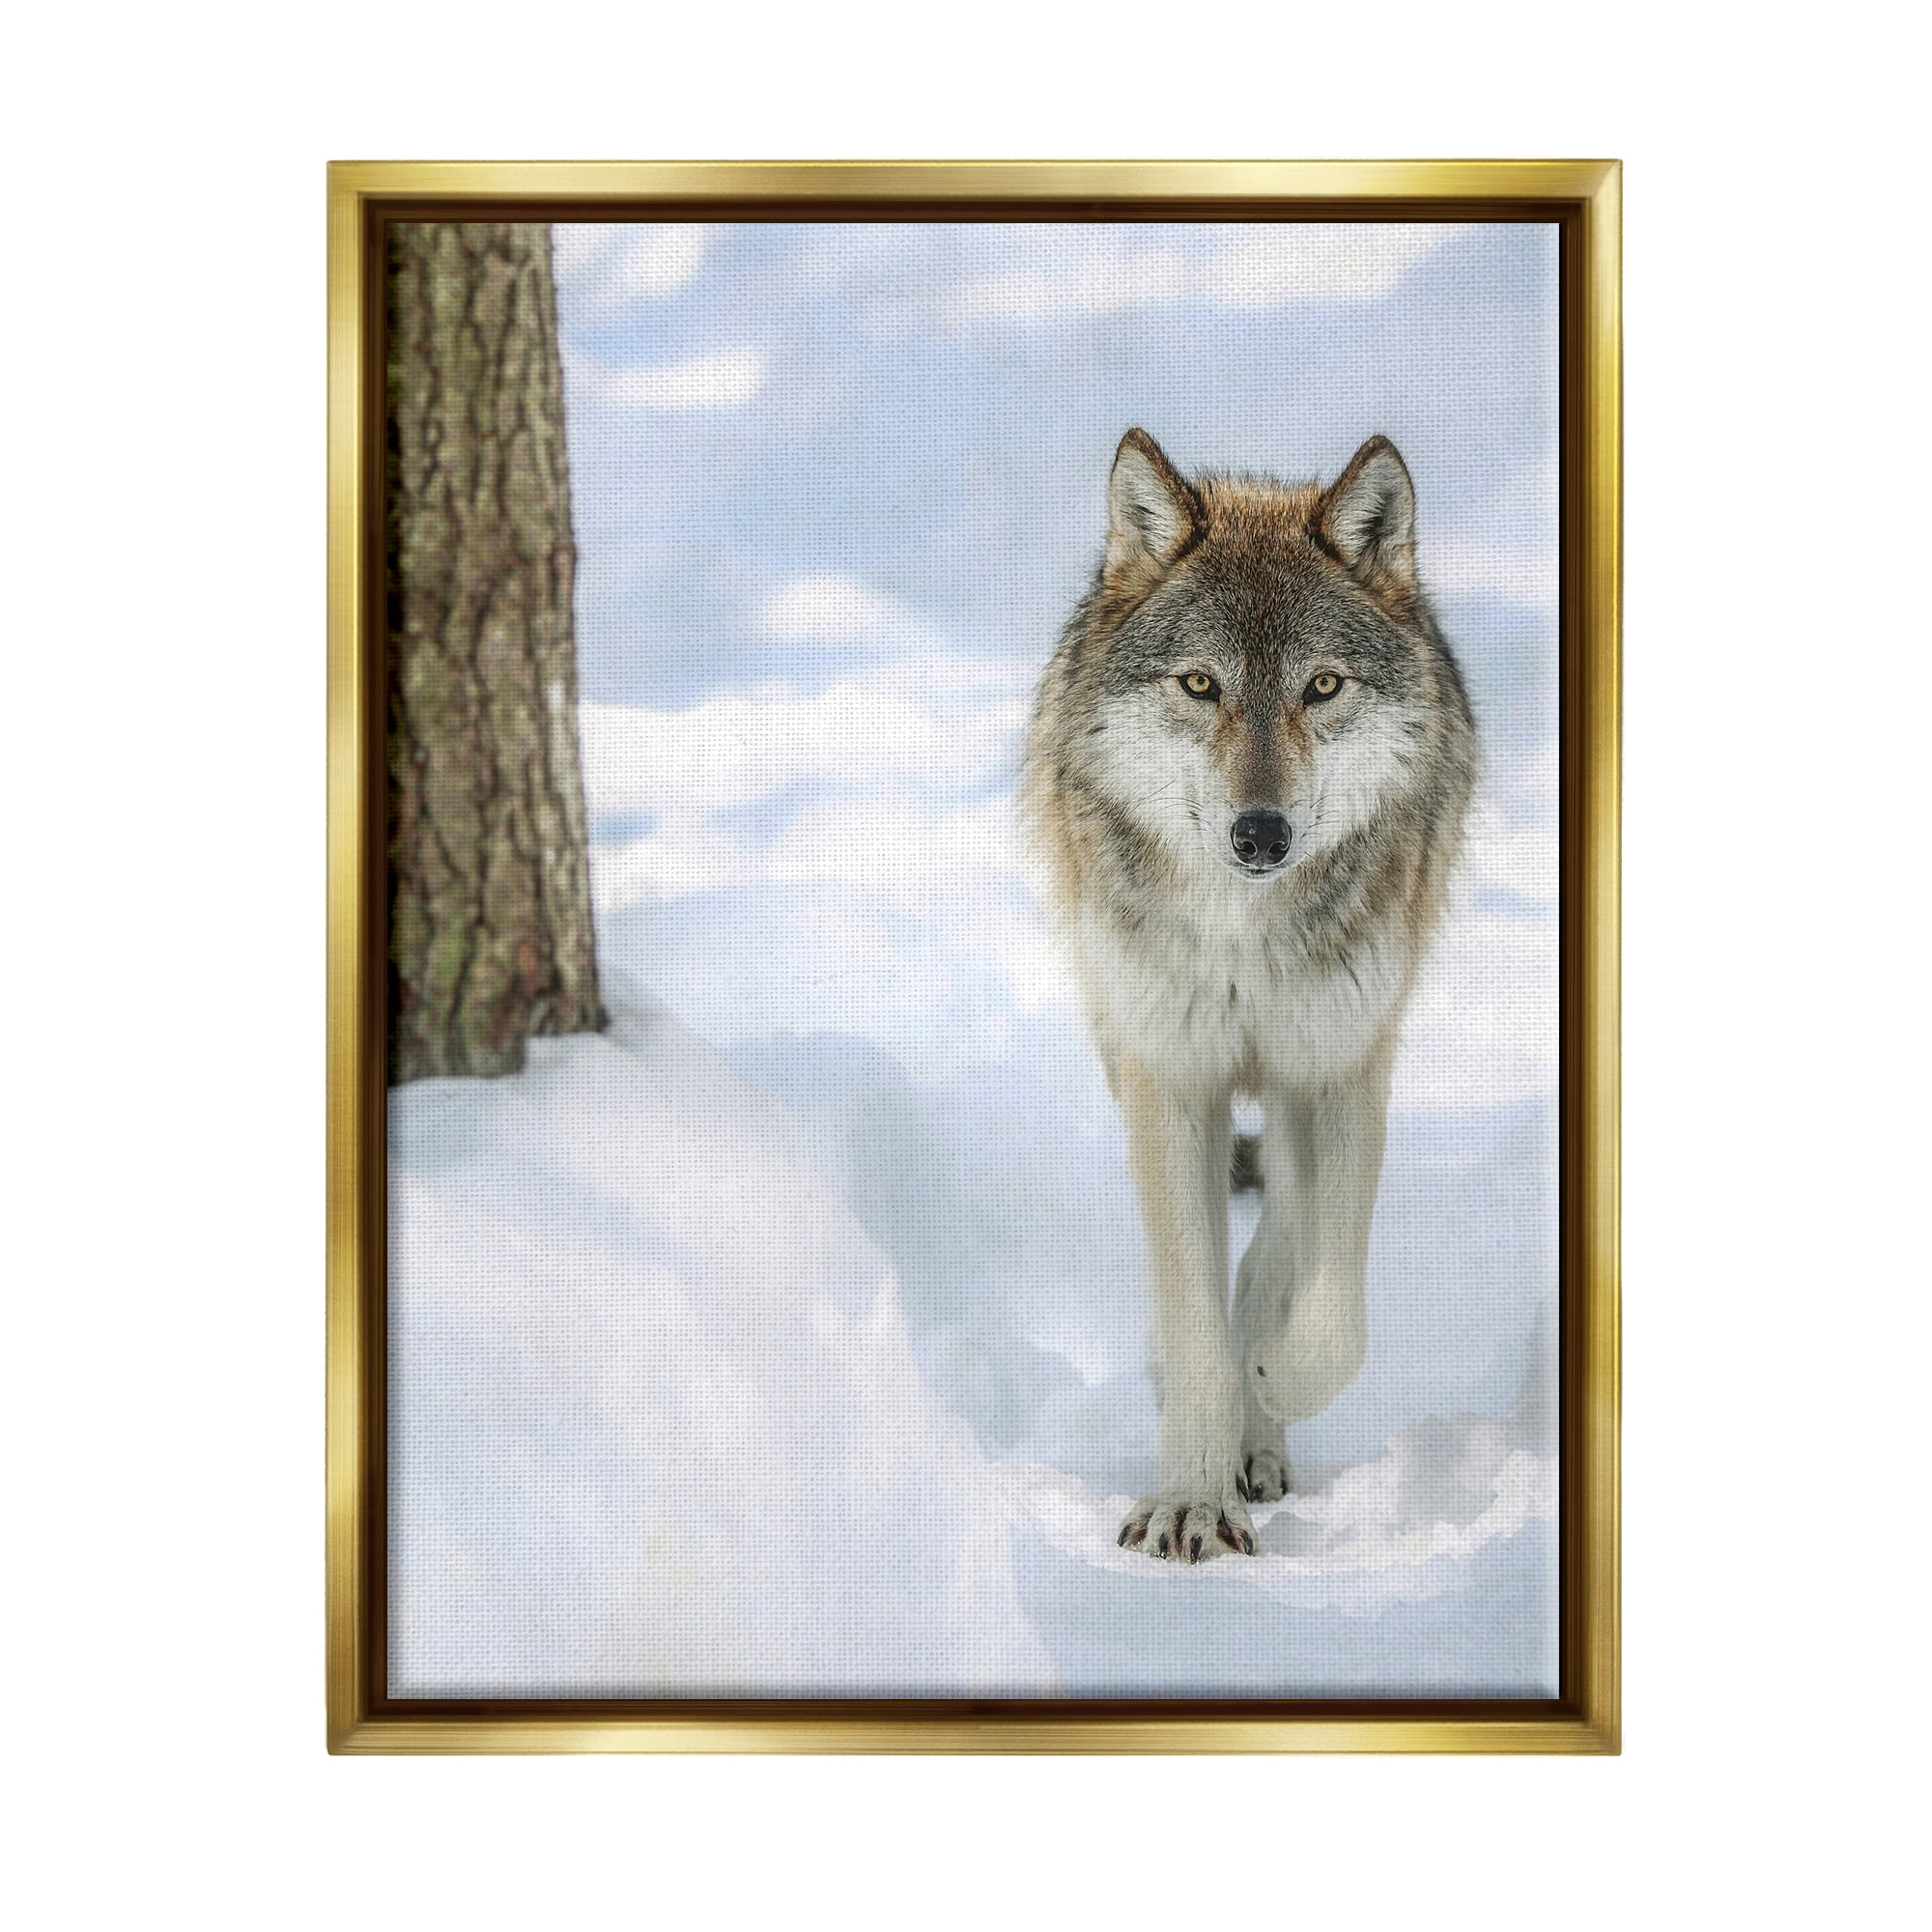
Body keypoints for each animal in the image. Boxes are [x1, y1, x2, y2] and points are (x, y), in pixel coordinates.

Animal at [1020, 429, 1476, 1561]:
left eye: (1321, 685)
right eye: (1199, 684)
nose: (1259, 832)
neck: (1245, 937)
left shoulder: (1342, 1070)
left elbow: (1332, 1313)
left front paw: (1266, 1385)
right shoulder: (1172, 1079)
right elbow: (1190, 1313)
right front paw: (1189, 1496)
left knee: (1282, 1228)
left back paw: (1259, 1422)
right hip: (1123, 1040)